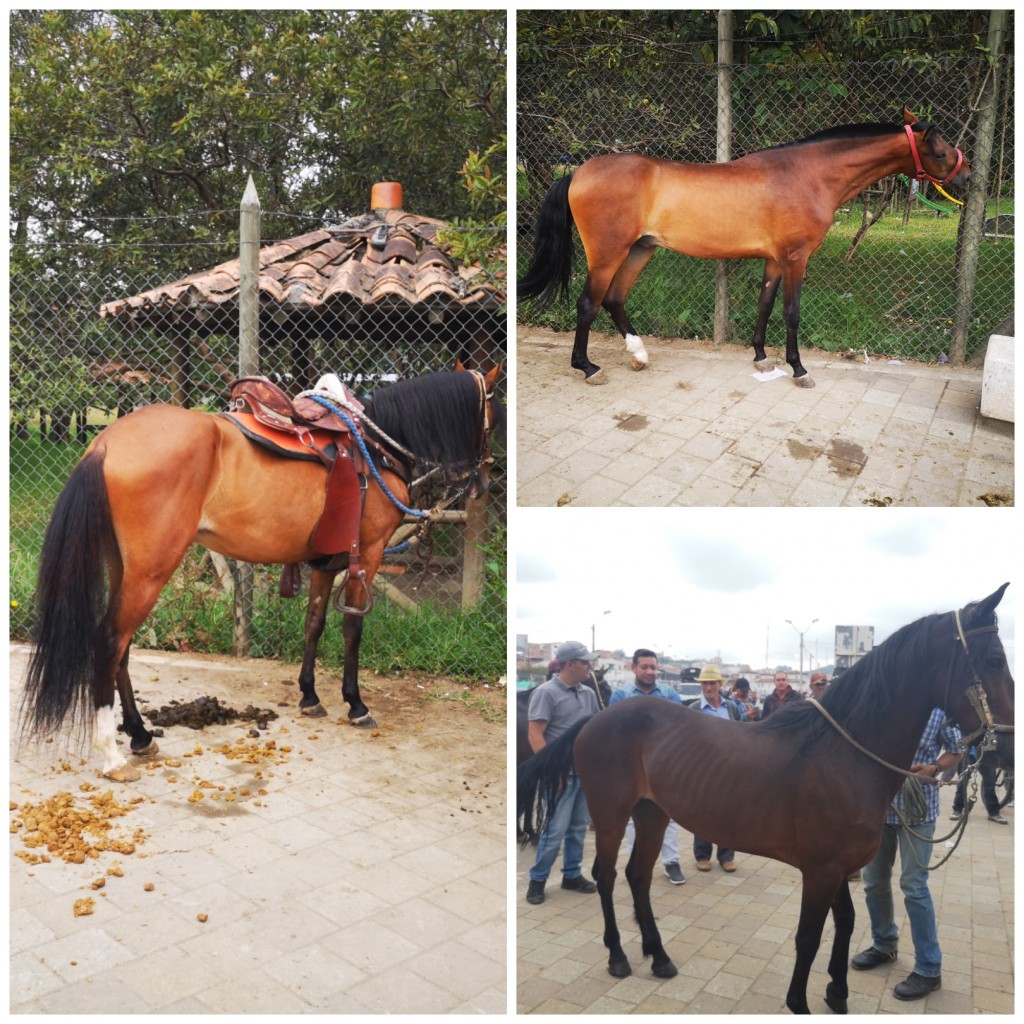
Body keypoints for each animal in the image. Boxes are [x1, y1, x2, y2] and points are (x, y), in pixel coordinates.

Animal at [22, 367, 504, 782]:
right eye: (493, 415)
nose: (483, 482)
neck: (376, 444)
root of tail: (106, 442)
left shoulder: (324, 563)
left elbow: (314, 624)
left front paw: (309, 696)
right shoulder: (366, 555)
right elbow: (352, 629)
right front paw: (355, 703)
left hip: (125, 567)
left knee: (121, 649)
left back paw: (140, 736)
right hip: (150, 573)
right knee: (110, 641)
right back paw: (113, 755)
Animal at [518, 585, 1013, 1014]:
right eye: (993, 658)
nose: (1005, 749)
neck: (845, 752)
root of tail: (596, 718)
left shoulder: (839, 867)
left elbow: (847, 922)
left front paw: (837, 992)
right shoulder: (821, 869)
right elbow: (808, 937)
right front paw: (800, 1002)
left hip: (653, 814)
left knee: (637, 876)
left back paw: (658, 956)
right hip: (611, 812)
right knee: (604, 875)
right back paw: (618, 956)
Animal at [519, 106, 969, 388]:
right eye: (940, 149)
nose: (966, 180)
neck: (806, 175)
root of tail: (577, 172)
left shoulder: (774, 260)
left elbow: (765, 305)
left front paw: (761, 356)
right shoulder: (795, 258)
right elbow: (791, 313)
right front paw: (798, 369)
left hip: (640, 249)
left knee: (614, 299)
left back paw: (639, 355)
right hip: (608, 253)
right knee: (588, 304)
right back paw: (588, 367)